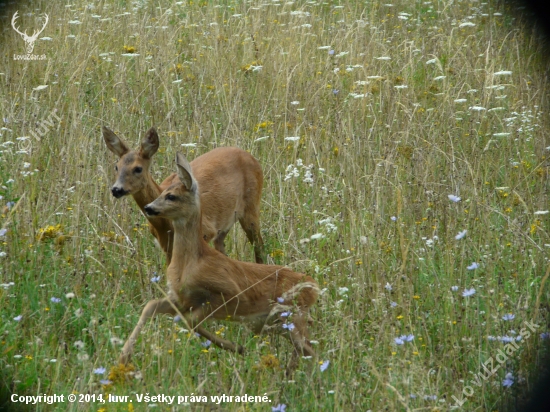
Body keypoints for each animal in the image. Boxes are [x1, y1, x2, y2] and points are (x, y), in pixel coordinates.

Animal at [105, 125, 268, 264]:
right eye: (116, 167)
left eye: (138, 168)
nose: (116, 189)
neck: (165, 225)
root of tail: (251, 157)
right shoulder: (166, 245)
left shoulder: (205, 231)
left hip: (251, 207)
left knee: (259, 246)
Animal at [119, 153, 320, 372]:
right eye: (163, 191)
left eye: (171, 196)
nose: (149, 207)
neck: (190, 263)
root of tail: (314, 286)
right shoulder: (181, 298)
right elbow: (152, 306)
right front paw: (124, 356)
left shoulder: (226, 293)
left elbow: (189, 321)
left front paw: (236, 347)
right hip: (278, 323)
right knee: (305, 348)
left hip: (292, 317)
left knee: (309, 349)